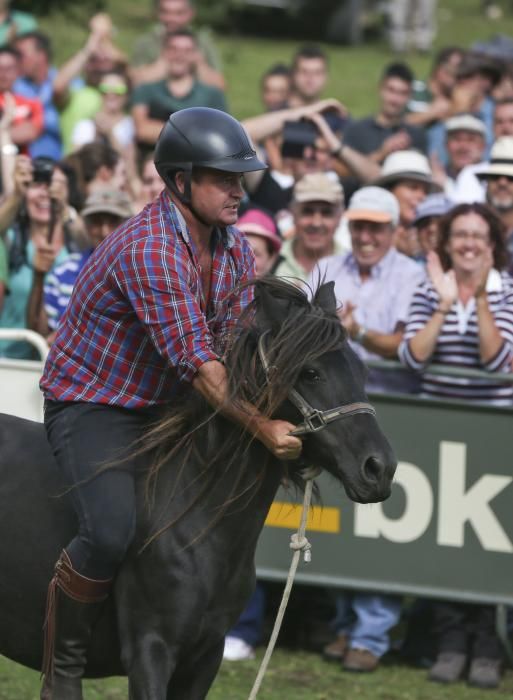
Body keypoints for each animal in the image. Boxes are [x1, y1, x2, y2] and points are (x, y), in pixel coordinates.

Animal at [0, 278, 396, 700]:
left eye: (361, 370)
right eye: (310, 372)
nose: (379, 467)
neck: (195, 514)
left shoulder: (205, 658)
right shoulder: (151, 651)